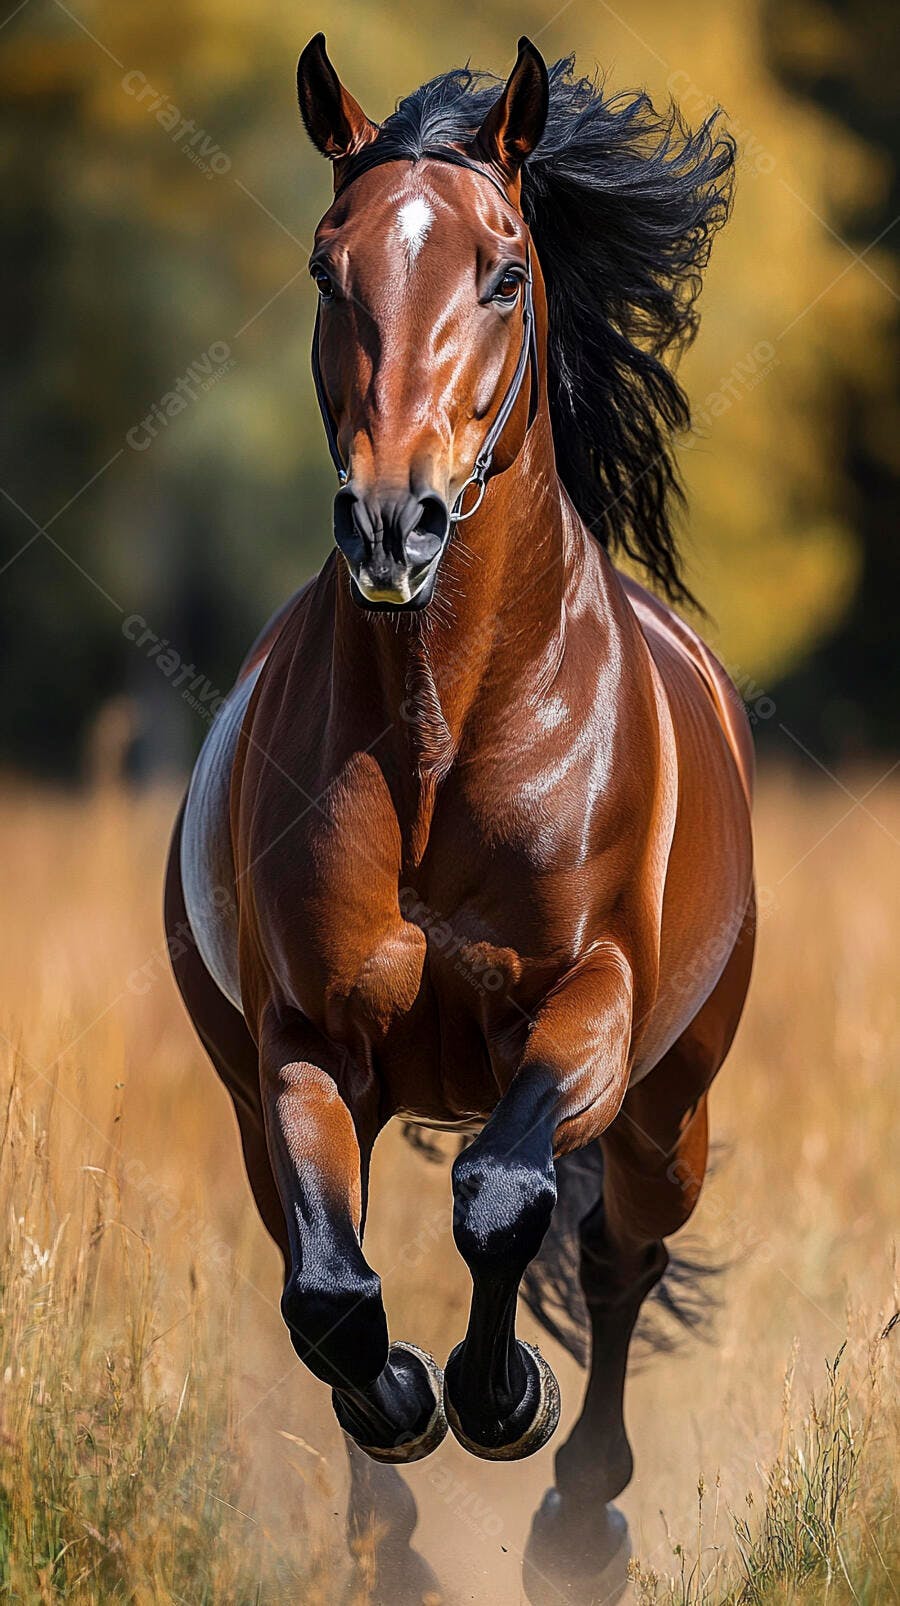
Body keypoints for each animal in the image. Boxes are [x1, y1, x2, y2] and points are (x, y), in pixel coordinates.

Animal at [164, 34, 754, 1602]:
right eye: (327, 266)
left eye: (500, 271)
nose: (395, 525)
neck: (445, 735)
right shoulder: (302, 1046)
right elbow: (332, 1295)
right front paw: (410, 1413)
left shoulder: (589, 1010)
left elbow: (499, 1197)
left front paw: (503, 1401)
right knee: (336, 1263)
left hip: (672, 1104)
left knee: (615, 1258)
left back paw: (578, 1521)